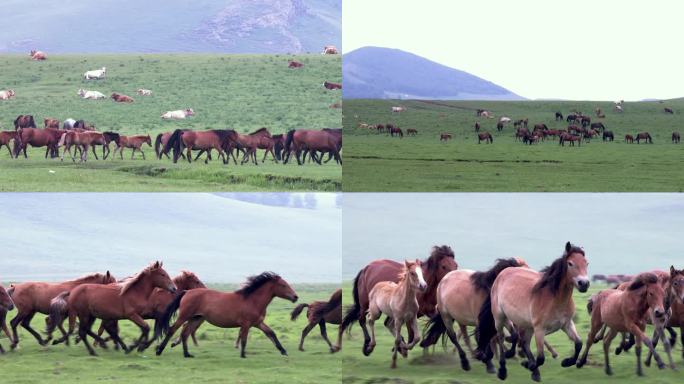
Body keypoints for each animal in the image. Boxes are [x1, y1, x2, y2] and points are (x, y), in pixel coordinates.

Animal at [156, 272, 298, 358]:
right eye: (283, 285)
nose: (295, 297)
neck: (252, 300)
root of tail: (187, 292)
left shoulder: (258, 323)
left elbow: (271, 333)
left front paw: (283, 351)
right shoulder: (246, 324)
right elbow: (244, 339)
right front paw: (243, 355)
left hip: (196, 318)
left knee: (185, 333)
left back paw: (187, 354)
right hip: (184, 316)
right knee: (172, 330)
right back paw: (159, 350)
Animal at [476, 242, 588, 382]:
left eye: (586, 263)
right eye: (570, 263)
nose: (584, 283)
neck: (555, 299)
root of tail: (503, 273)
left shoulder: (566, 324)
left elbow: (579, 344)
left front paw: (566, 362)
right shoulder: (540, 329)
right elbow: (540, 358)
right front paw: (528, 365)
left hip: (522, 323)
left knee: (521, 340)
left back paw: (527, 366)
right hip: (500, 317)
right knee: (501, 338)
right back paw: (503, 370)